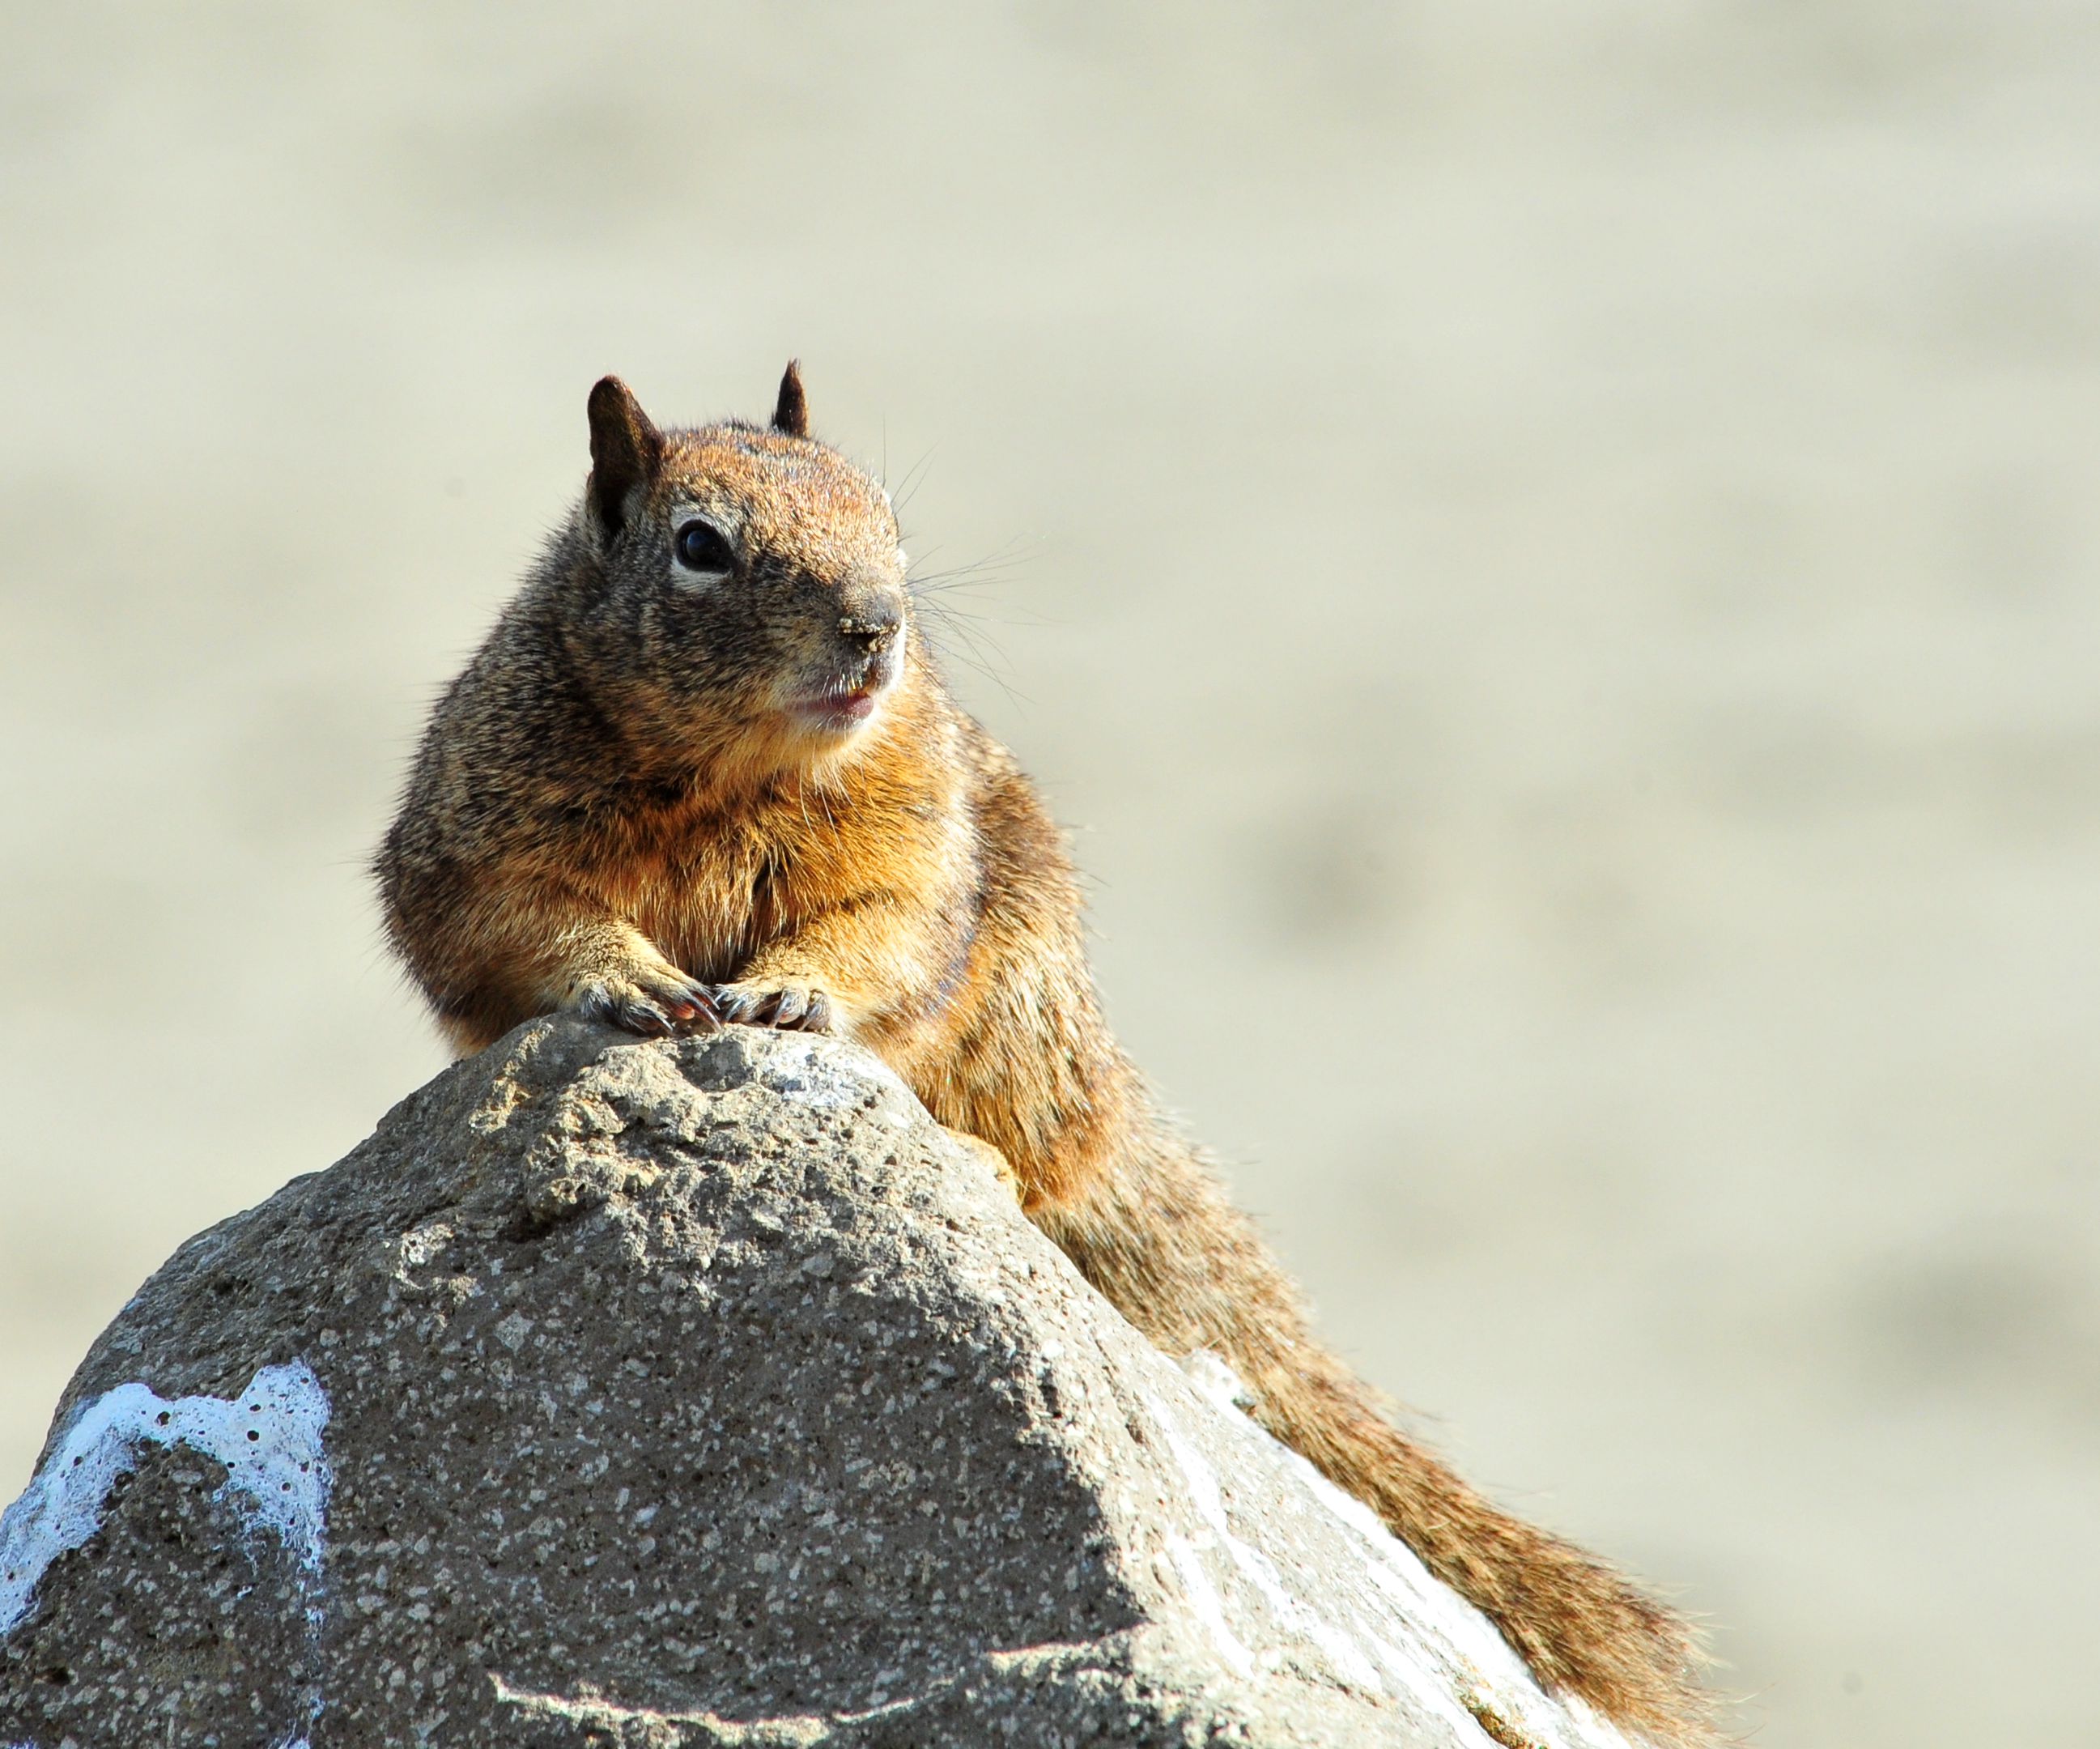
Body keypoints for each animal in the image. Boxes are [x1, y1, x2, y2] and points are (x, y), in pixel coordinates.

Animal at [382, 361, 1705, 1738]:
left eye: (885, 518)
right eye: (701, 547)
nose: (875, 626)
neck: (732, 773)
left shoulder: (908, 830)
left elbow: (883, 927)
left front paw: (795, 989)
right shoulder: (481, 829)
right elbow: (514, 919)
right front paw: (628, 975)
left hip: (1022, 1007)